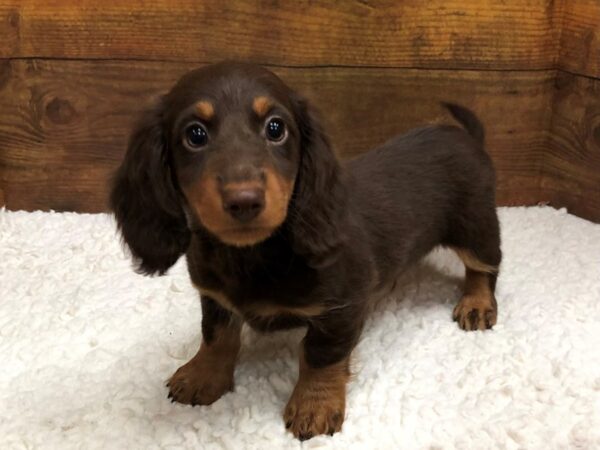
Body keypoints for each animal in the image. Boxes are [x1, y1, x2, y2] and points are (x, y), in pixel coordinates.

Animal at [109, 61, 502, 442]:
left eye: (275, 128)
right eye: (195, 135)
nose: (244, 201)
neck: (252, 255)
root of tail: (466, 137)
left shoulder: (342, 307)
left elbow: (319, 355)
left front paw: (314, 405)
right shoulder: (215, 297)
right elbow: (216, 335)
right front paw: (203, 375)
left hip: (476, 226)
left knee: (485, 267)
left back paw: (477, 304)